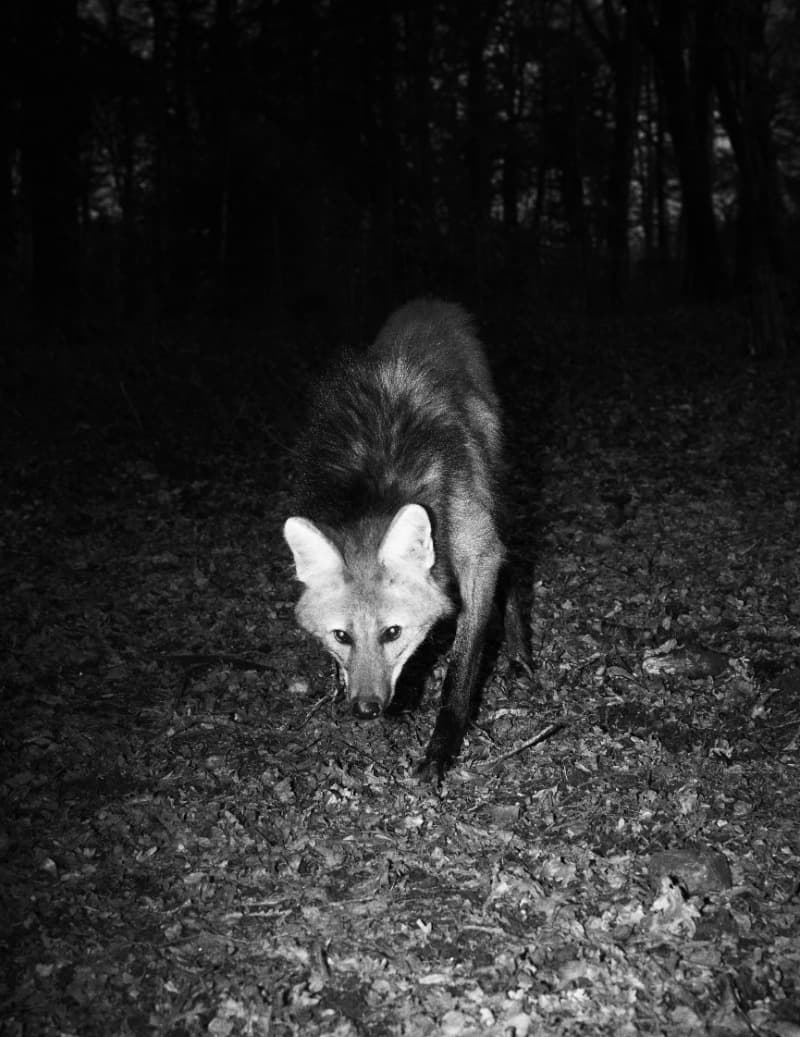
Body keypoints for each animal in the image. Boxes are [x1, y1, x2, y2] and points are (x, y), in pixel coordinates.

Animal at [283, 299, 525, 779]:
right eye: (342, 636)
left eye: (392, 632)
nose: (366, 709)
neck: (380, 477)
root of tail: (431, 302)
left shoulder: (476, 549)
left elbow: (462, 669)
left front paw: (439, 751)